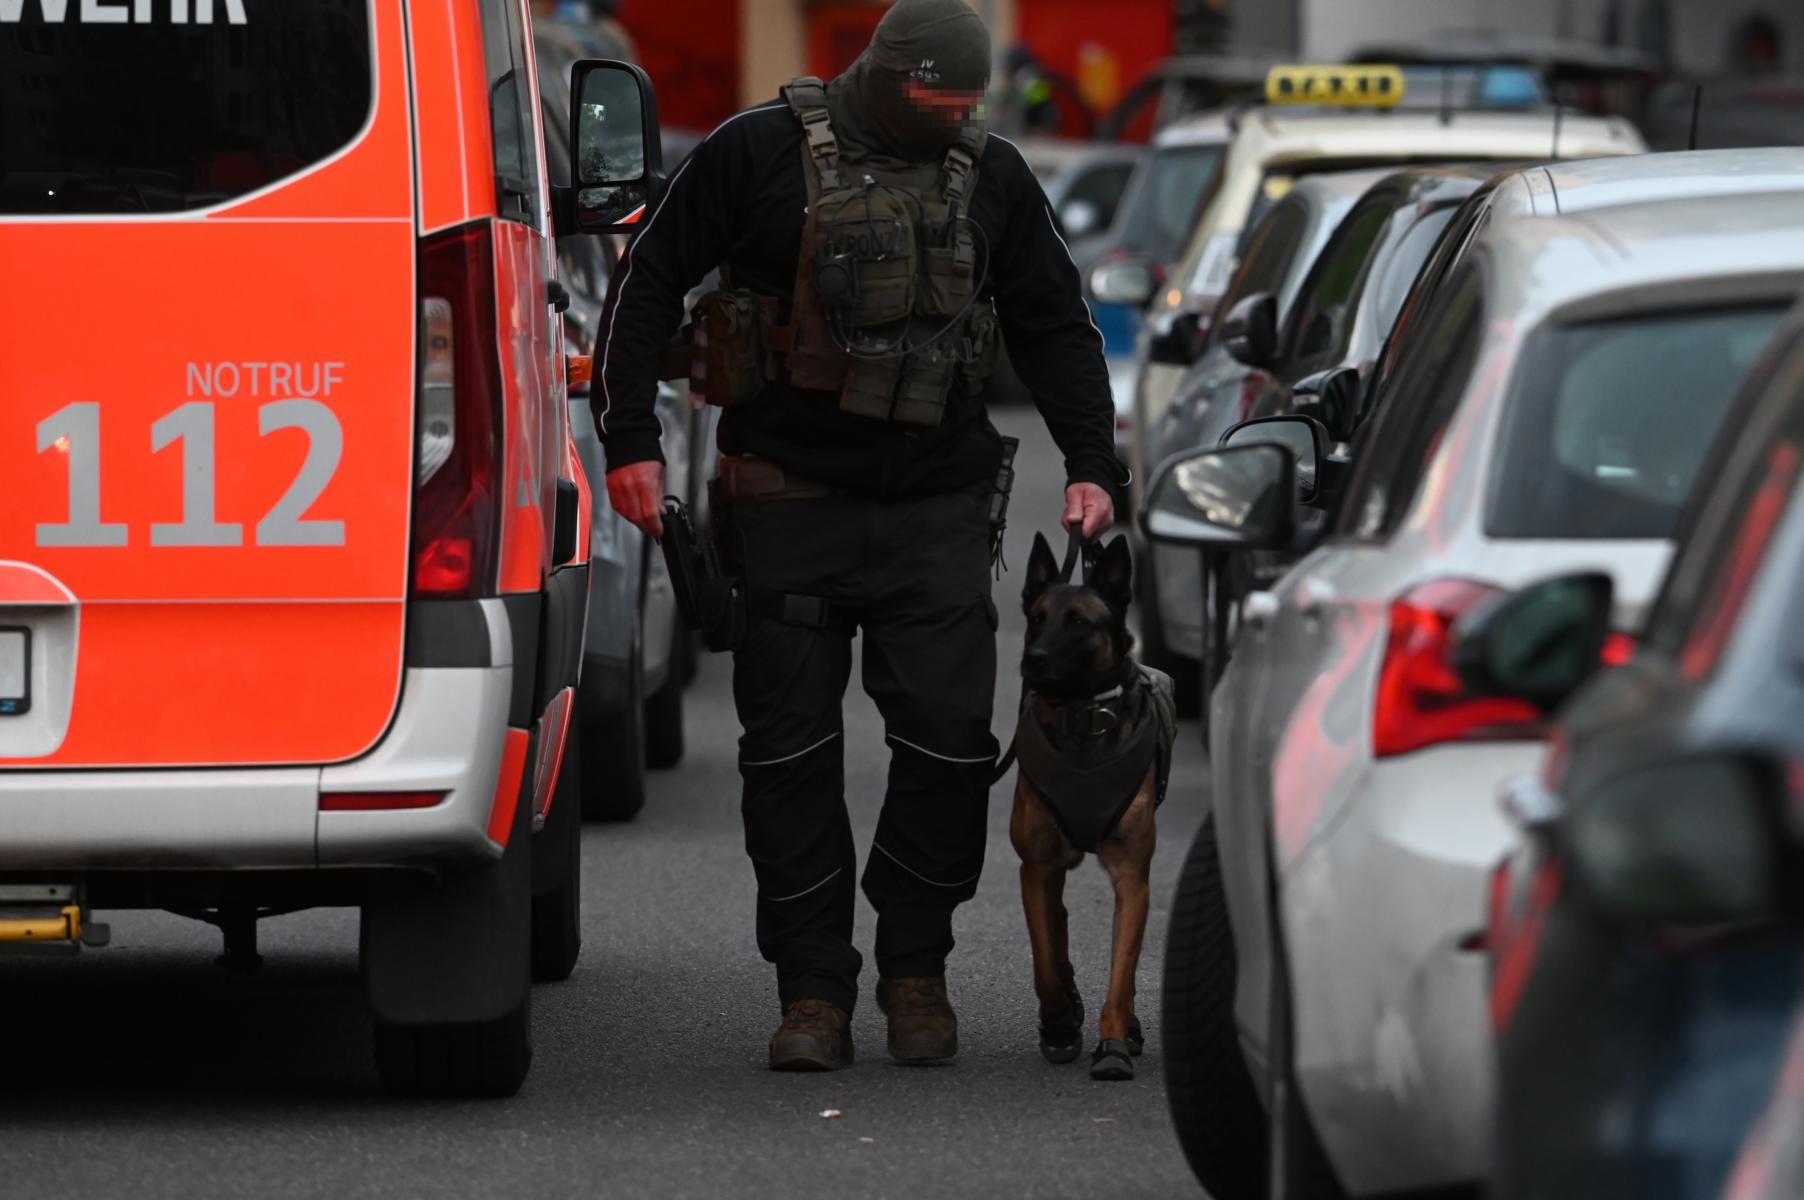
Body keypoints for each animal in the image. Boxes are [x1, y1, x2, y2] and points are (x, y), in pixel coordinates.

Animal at [1010, 530, 1176, 1075]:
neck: (1082, 717)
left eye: (1079, 622)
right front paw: (1061, 1019)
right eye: (1036, 617)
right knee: (1057, 922)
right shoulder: (1036, 867)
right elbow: (1043, 961)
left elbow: (1122, 973)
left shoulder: (1132, 878)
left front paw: (1114, 1043)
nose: (1034, 659)